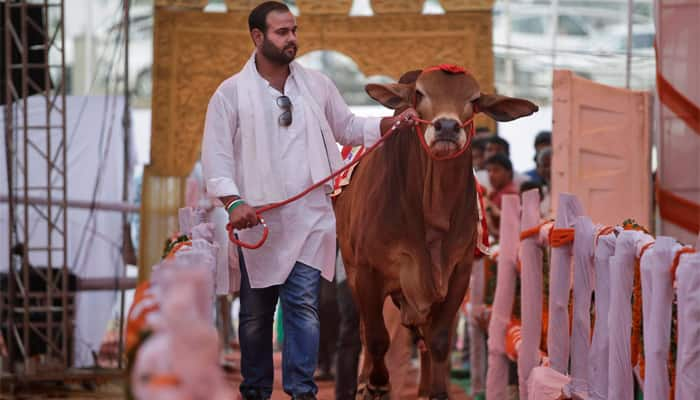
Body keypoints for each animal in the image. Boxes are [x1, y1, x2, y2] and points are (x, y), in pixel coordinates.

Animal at [334, 64, 536, 398]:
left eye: (474, 99)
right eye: (419, 93)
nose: (447, 127)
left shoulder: (458, 273)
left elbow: (439, 339)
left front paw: (437, 391)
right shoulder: (366, 272)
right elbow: (376, 337)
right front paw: (376, 383)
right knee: (369, 332)